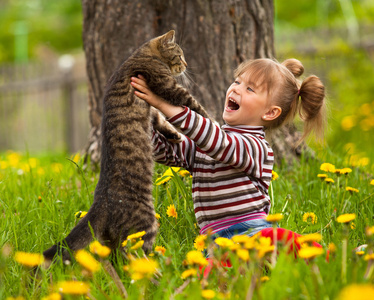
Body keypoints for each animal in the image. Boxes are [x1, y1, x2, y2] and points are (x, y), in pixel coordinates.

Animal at [42, 29, 212, 262]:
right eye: (179, 55)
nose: (186, 64)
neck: (143, 55)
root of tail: (99, 203)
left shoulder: (153, 109)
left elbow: (160, 119)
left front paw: (174, 135)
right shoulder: (168, 86)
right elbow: (194, 105)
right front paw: (214, 121)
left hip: (111, 239)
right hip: (144, 224)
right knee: (133, 257)